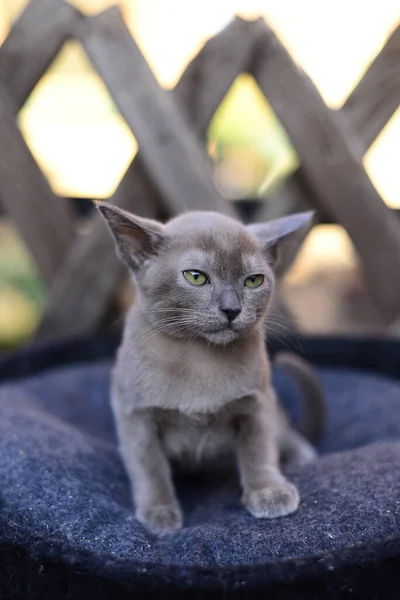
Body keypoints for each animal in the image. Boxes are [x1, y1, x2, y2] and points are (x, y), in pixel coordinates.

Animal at [97, 203, 324, 536]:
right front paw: (159, 514)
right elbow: (150, 468)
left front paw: (269, 493)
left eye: (253, 281)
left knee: (286, 434)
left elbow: (259, 452)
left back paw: (302, 458)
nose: (232, 309)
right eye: (196, 277)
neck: (200, 358)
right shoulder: (136, 417)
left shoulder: (256, 406)